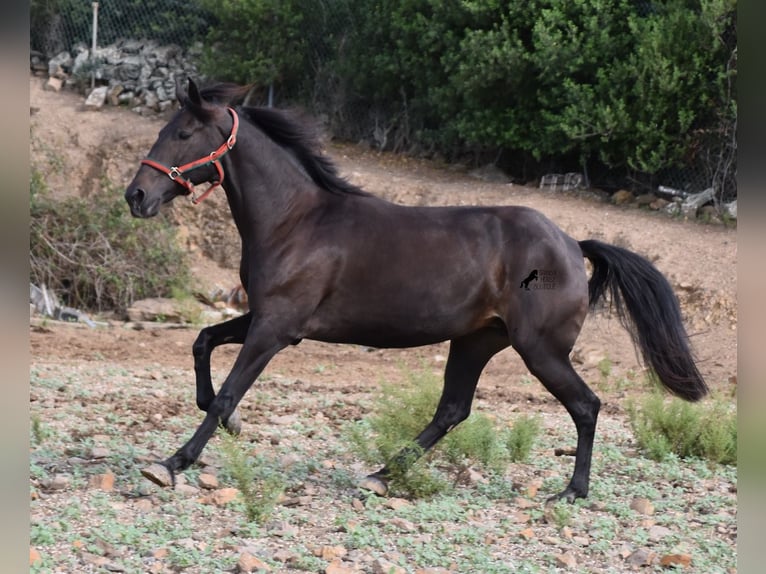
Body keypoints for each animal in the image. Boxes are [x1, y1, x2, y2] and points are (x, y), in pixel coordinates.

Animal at [124, 77, 708, 504]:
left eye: (182, 134)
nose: (136, 196)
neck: (295, 221)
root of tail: (569, 243)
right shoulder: (266, 316)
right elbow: (202, 343)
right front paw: (230, 426)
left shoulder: (276, 328)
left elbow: (227, 391)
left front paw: (171, 463)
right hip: (476, 341)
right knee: (452, 410)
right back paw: (382, 474)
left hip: (539, 349)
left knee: (585, 405)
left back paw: (571, 491)